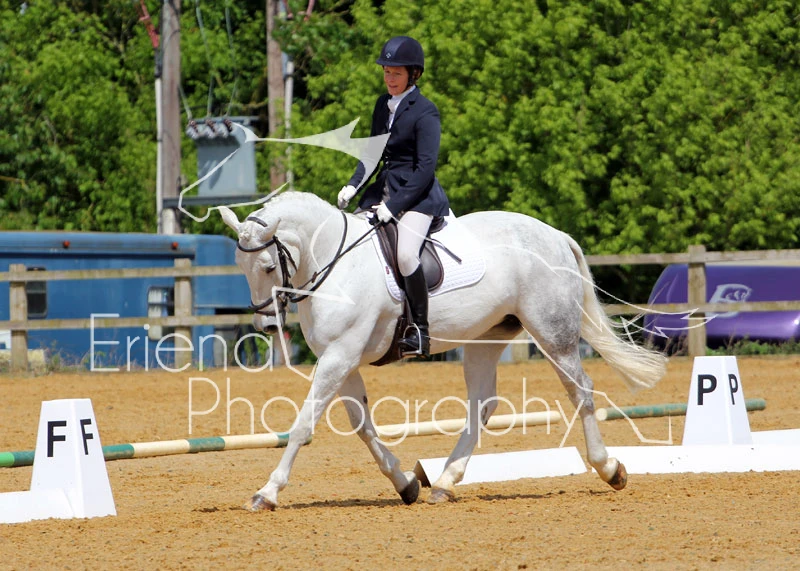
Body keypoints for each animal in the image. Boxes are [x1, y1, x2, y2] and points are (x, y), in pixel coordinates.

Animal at [219, 191, 667, 510]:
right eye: (241, 268)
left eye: (268, 267)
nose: (266, 325)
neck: (335, 262)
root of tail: (556, 236)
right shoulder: (342, 360)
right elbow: (362, 426)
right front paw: (406, 484)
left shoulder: (339, 356)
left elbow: (303, 426)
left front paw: (266, 493)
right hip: (486, 338)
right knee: (483, 403)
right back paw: (446, 482)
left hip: (551, 332)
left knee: (580, 390)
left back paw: (610, 469)